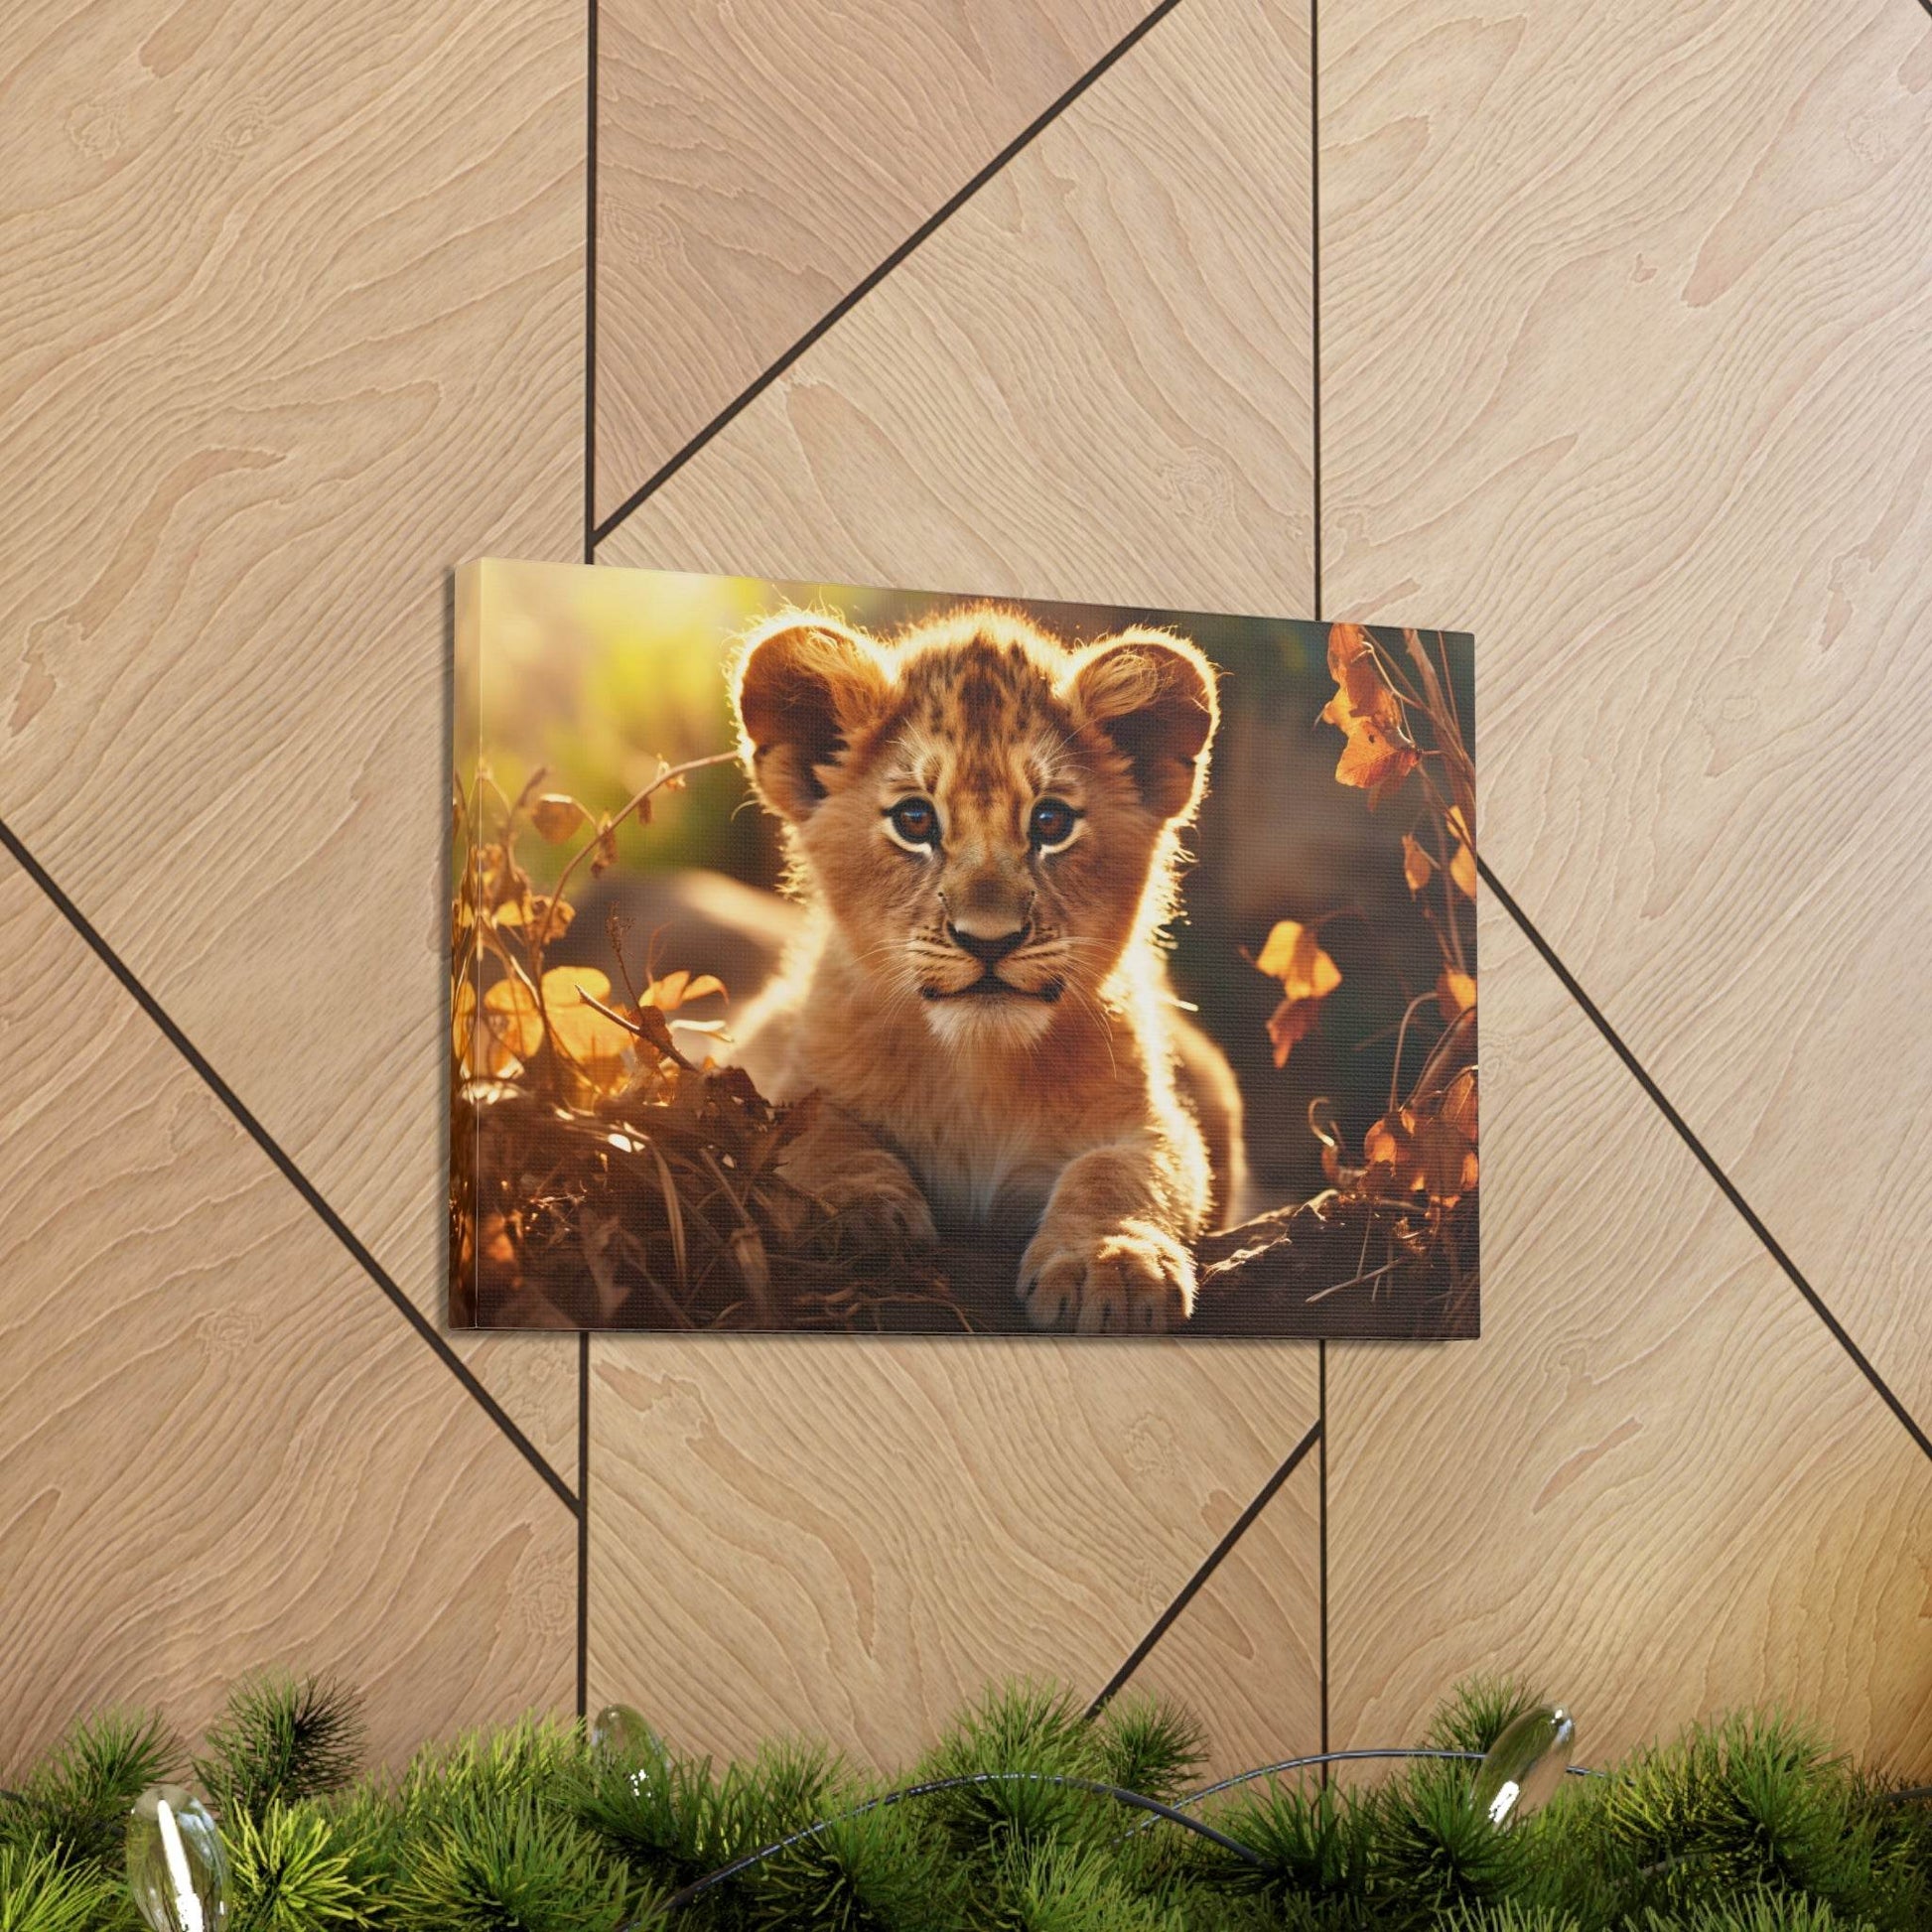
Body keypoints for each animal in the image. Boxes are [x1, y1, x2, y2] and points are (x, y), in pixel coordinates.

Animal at [726, 604, 1247, 1333]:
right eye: (915, 819)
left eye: (1051, 822)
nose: (989, 941)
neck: (976, 1068)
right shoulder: (772, 1070)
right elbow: (812, 1133)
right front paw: (856, 1215)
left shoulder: (1151, 1117)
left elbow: (1125, 1172)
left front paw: (1111, 1262)